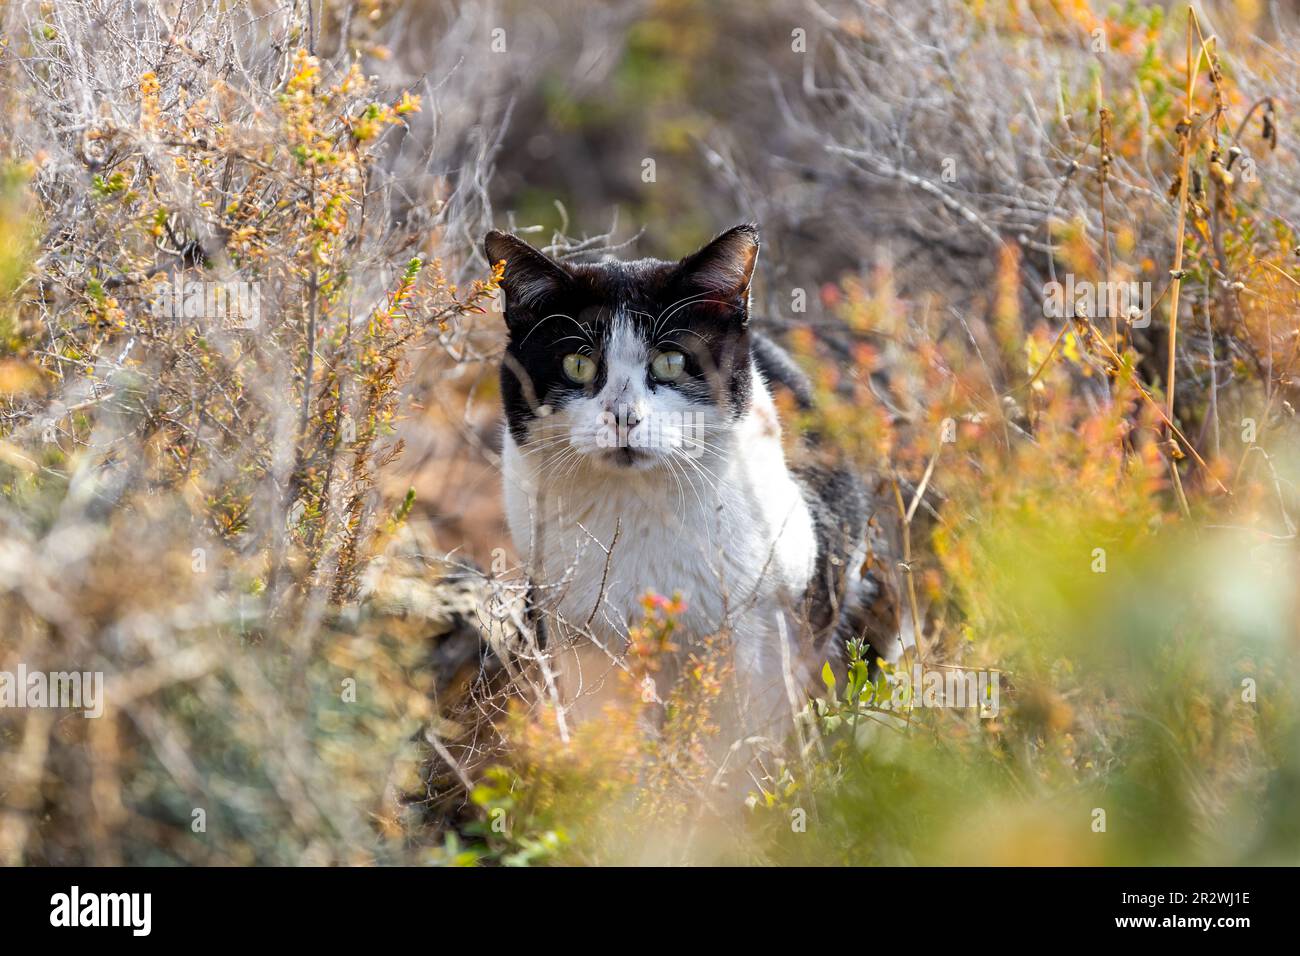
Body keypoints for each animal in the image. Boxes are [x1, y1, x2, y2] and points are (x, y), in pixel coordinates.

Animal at [483, 222, 899, 738]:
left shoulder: (762, 627)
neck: (636, 512)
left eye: (671, 361)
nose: (623, 416)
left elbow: (741, 732)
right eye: (577, 365)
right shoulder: (574, 633)